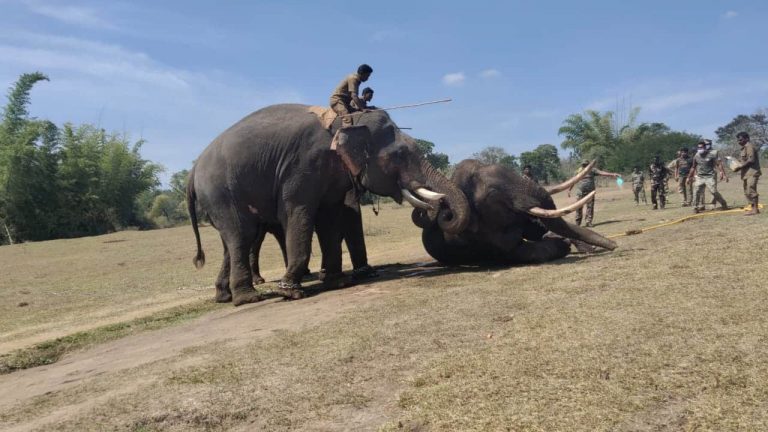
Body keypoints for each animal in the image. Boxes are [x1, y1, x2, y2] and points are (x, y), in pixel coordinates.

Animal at [187, 104, 470, 305]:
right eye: (400, 155)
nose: (443, 212)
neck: (346, 121)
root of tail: (193, 170)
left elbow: (329, 216)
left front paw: (337, 282)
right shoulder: (302, 165)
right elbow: (298, 212)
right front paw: (290, 293)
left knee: (233, 240)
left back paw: (225, 296)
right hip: (220, 191)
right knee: (242, 234)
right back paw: (249, 298)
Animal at [413, 159, 617, 265]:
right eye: (493, 194)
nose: (615, 245)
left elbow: (539, 227)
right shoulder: (482, 239)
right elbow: (522, 253)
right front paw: (562, 245)